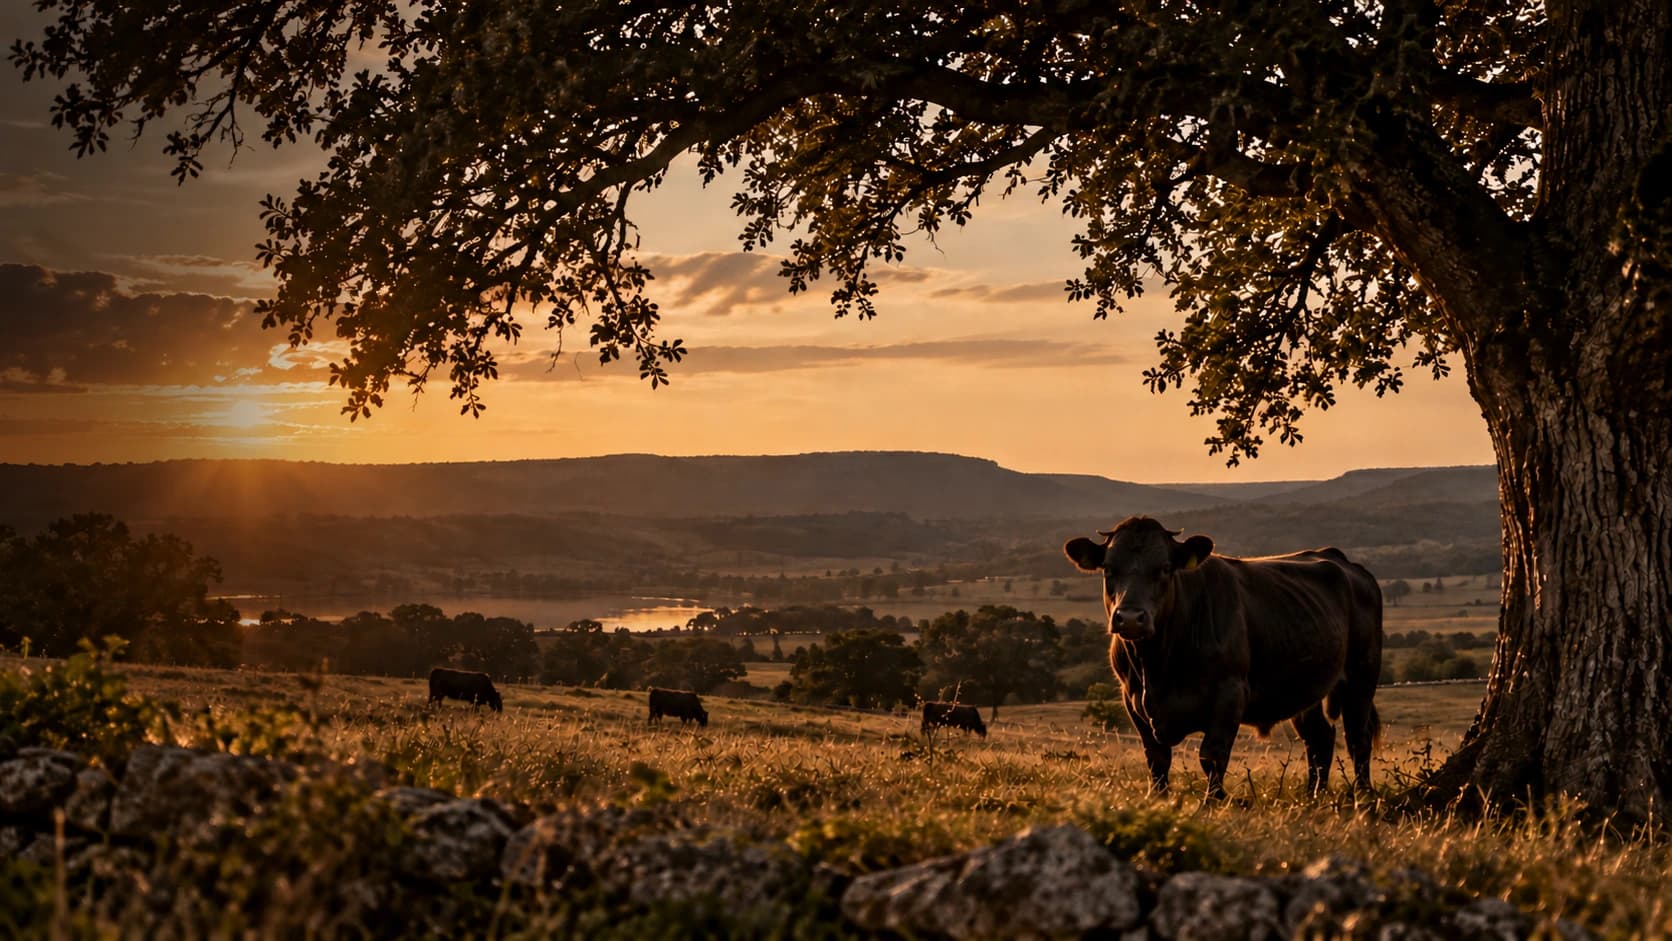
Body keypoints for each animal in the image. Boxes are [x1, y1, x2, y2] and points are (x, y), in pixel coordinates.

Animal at [1064, 516, 1382, 800]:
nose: (1130, 618)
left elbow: (1212, 755)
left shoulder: (1229, 693)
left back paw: (1363, 795)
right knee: (1320, 739)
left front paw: (1212, 802)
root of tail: (1341, 560)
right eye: (1108, 569)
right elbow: (1157, 759)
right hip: (1303, 690)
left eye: (1165, 568)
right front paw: (1158, 799)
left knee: (1358, 737)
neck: (1156, 666)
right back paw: (1314, 796)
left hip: (1361, 677)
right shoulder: (1131, 698)